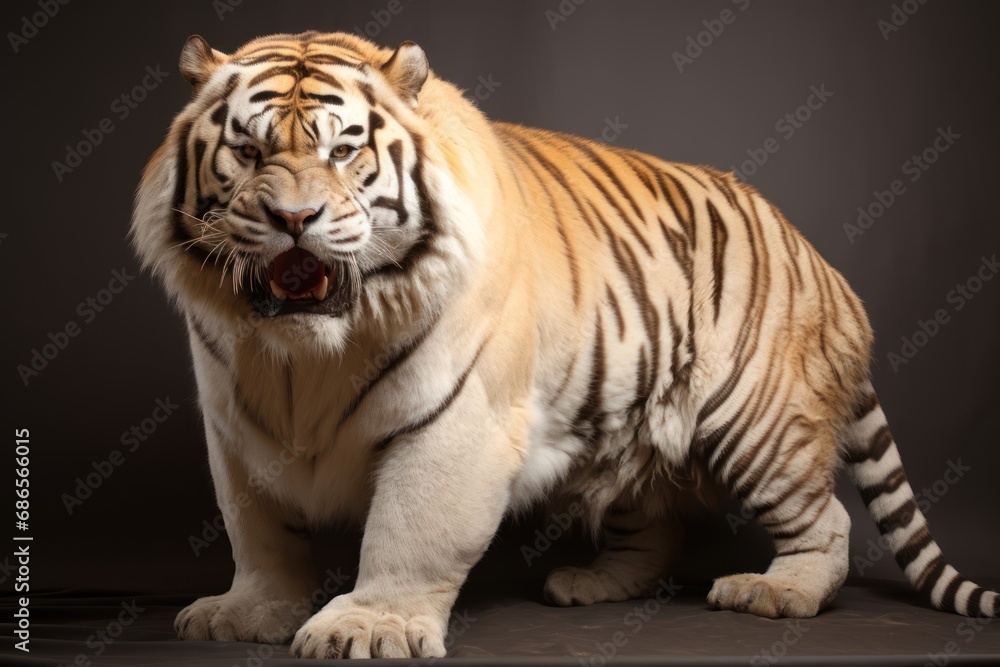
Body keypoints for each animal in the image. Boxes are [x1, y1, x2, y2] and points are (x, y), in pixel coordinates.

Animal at [130, 30, 998, 660]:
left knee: (828, 520)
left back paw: (779, 591)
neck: (301, 357)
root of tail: (823, 265)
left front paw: (366, 625)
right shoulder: (235, 426)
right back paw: (594, 582)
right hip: (633, 417)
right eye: (247, 151)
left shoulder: (456, 423)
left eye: (343, 150)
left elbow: (410, 528)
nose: (294, 219)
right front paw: (249, 611)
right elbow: (258, 530)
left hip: (760, 421)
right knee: (654, 522)